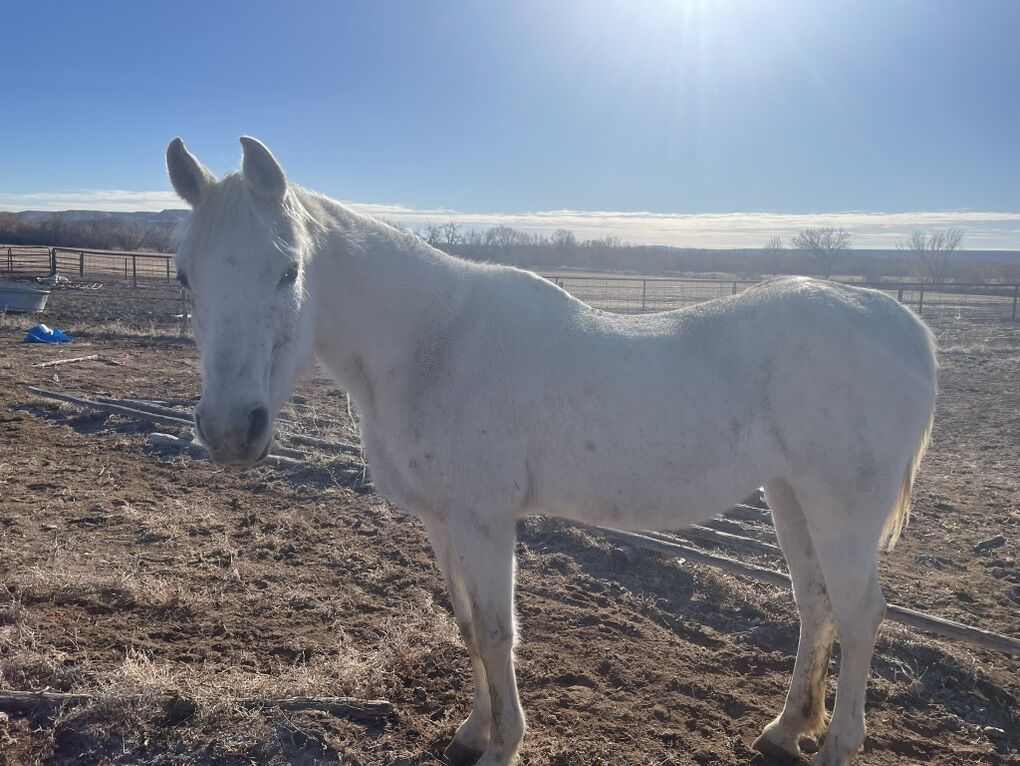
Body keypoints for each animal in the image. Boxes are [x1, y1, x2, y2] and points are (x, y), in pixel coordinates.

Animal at [166, 136, 937, 766]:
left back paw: (836, 747)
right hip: (790, 496)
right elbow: (467, 625)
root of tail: (904, 325)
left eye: (288, 270)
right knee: (816, 604)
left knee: (861, 614)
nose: (231, 429)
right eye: (184, 277)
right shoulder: (442, 521)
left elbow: (497, 630)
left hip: (842, 513)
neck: (432, 344)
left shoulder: (485, 520)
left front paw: (503, 745)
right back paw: (786, 730)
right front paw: (472, 732)